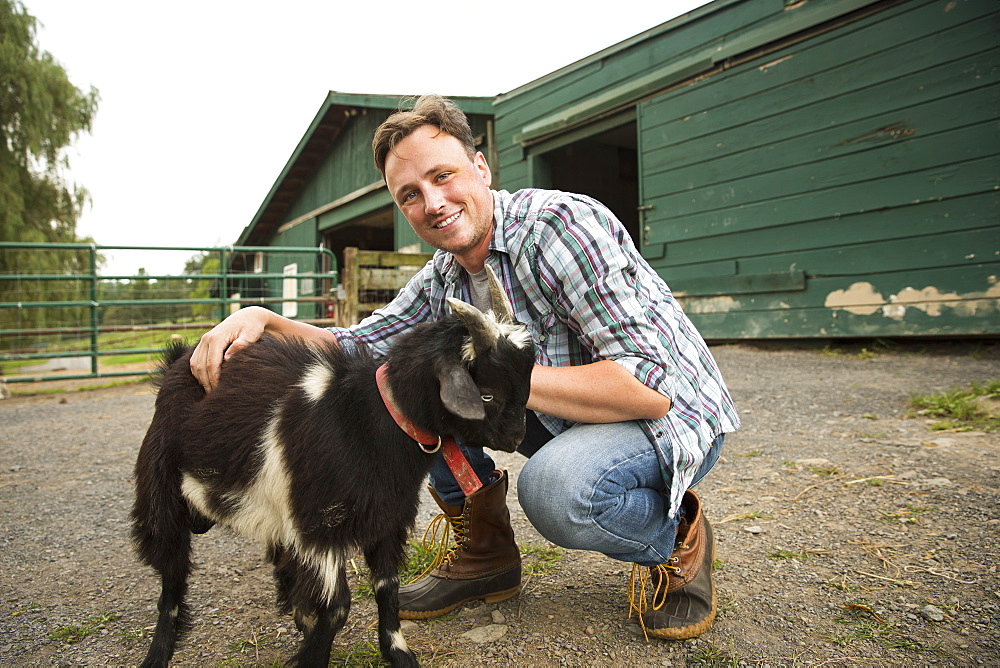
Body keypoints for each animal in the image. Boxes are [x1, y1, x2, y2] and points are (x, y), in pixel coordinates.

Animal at [133, 268, 540, 664]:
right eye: (487, 395)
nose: (516, 438)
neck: (365, 420)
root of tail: (180, 358)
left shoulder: (386, 517)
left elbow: (387, 588)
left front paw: (397, 653)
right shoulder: (321, 527)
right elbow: (337, 606)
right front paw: (311, 658)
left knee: (281, 565)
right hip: (161, 494)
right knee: (172, 578)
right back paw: (158, 653)